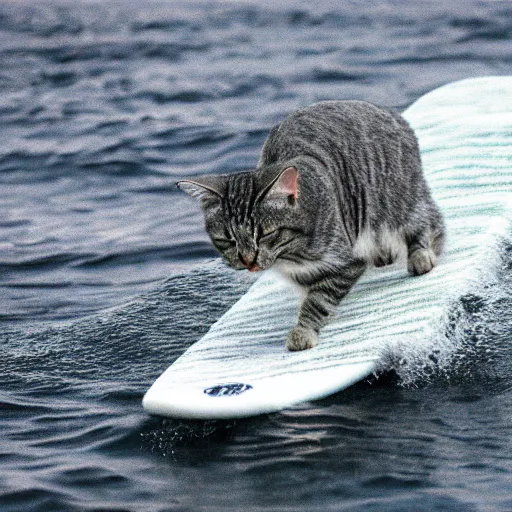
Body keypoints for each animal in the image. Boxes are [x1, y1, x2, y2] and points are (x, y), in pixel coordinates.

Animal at [179, 102, 444, 354]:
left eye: (265, 234)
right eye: (228, 240)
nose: (247, 260)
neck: (291, 255)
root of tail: (391, 113)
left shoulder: (346, 261)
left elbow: (318, 301)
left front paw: (303, 331)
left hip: (396, 198)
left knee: (426, 217)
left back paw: (421, 253)